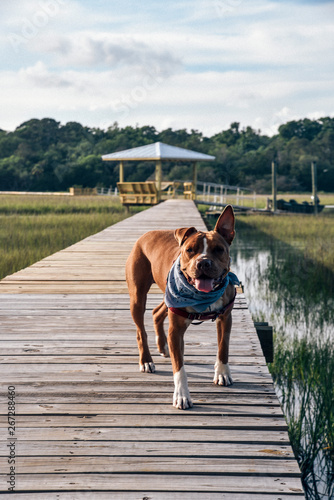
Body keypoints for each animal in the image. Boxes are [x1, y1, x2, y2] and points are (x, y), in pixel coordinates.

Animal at [126, 205, 237, 408]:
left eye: (219, 250)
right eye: (190, 250)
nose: (203, 262)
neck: (203, 296)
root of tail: (146, 234)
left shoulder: (226, 318)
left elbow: (223, 348)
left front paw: (222, 373)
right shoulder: (175, 330)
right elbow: (179, 369)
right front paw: (182, 395)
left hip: (168, 298)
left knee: (156, 312)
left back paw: (163, 346)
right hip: (137, 297)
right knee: (140, 331)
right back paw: (146, 361)